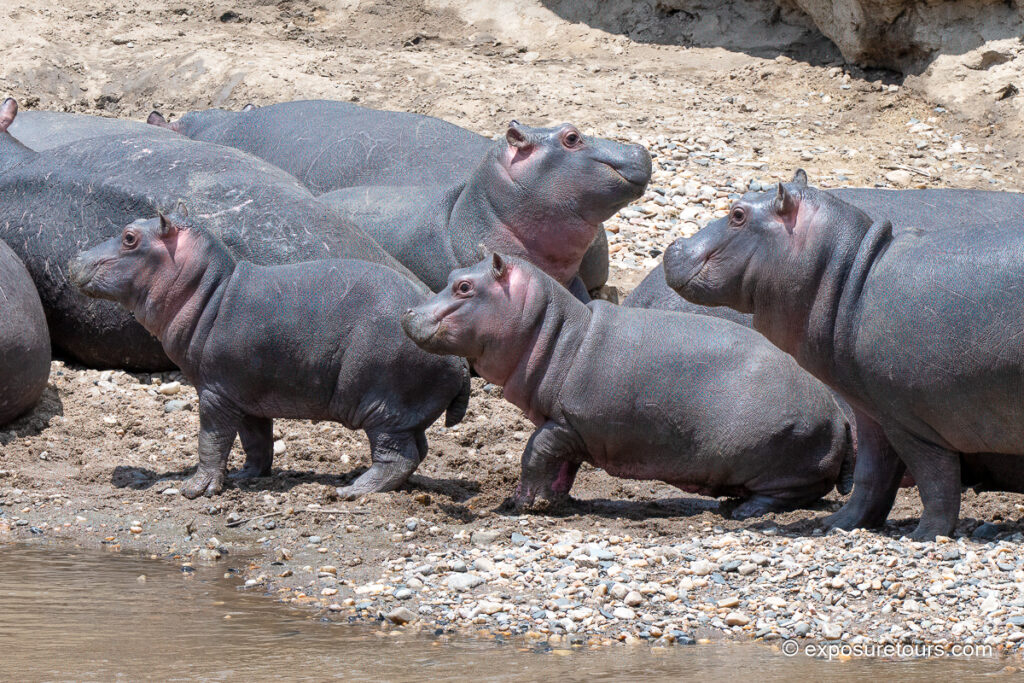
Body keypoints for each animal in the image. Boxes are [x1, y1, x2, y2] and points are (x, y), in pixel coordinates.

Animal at [70, 213, 469, 499]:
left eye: (129, 237)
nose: (76, 257)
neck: (207, 289)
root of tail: (462, 363)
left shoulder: (214, 392)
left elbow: (210, 441)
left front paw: (195, 490)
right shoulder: (243, 395)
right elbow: (255, 440)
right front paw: (245, 476)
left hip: (382, 406)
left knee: (397, 457)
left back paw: (352, 490)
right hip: (402, 413)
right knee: (418, 449)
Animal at [402, 253, 853, 518]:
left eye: (464, 287)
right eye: (453, 275)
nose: (408, 312)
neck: (556, 333)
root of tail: (840, 415)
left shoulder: (564, 422)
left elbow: (533, 455)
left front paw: (519, 504)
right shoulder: (565, 428)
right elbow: (561, 467)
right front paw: (555, 501)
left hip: (781, 457)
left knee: (793, 494)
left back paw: (740, 510)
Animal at [664, 170, 1024, 539]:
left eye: (738, 214)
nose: (675, 245)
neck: (848, 273)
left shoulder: (909, 420)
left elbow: (934, 481)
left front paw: (924, 535)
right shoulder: (871, 410)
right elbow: (871, 474)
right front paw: (839, 524)